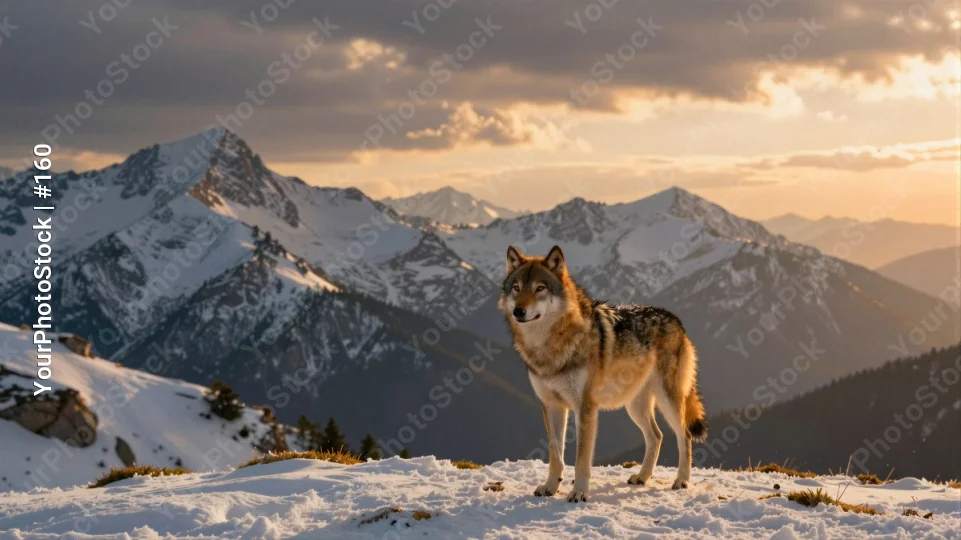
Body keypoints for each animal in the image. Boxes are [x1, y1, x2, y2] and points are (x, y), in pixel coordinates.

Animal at [498, 245, 707, 502]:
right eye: (516, 288)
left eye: (540, 288)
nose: (519, 311)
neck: (550, 347)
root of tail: (676, 320)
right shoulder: (552, 405)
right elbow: (555, 454)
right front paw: (550, 487)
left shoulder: (585, 408)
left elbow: (581, 458)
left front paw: (579, 492)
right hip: (634, 406)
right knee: (656, 436)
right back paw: (642, 477)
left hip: (668, 401)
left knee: (684, 435)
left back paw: (682, 481)